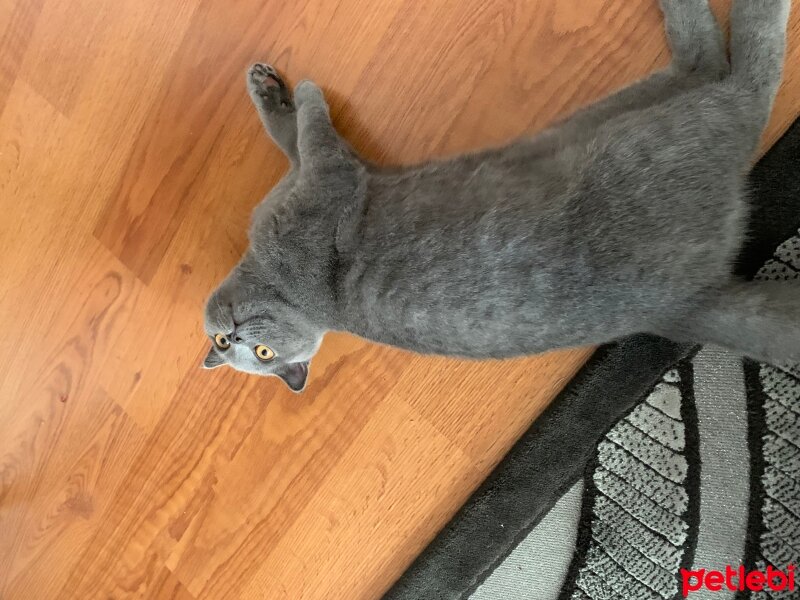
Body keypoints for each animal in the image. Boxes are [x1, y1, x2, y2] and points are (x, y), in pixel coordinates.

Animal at [202, 0, 792, 392]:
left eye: (257, 351)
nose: (230, 337)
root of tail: (683, 304)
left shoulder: (332, 171)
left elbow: (297, 133)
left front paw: (275, 90)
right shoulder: (330, 180)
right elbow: (311, 134)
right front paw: (298, 92)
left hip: (615, 119)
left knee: (722, 71)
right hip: (650, 134)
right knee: (737, 78)